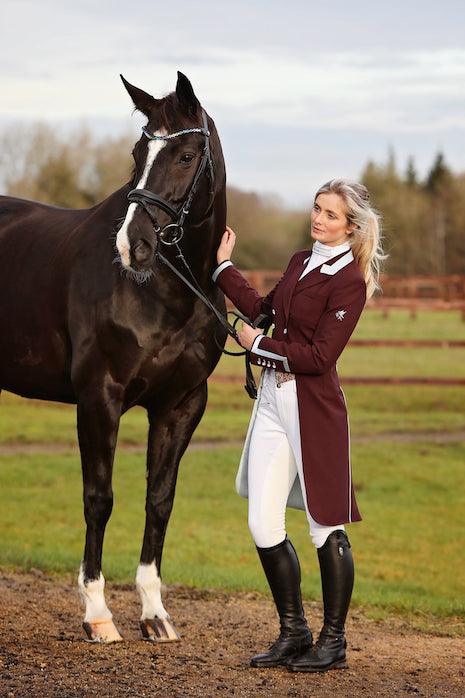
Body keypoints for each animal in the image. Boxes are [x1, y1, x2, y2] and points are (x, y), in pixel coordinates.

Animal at [0, 72, 227, 640]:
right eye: (138, 152)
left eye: (186, 155)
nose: (134, 245)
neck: (166, 292)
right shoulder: (99, 396)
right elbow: (99, 499)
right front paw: (98, 614)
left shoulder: (181, 405)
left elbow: (159, 500)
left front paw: (154, 613)